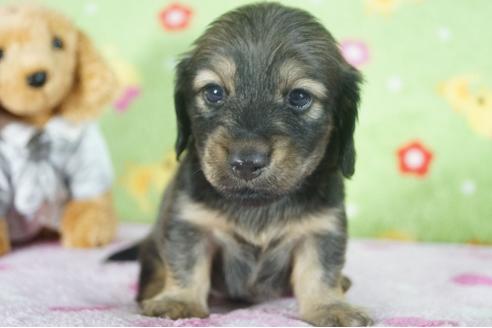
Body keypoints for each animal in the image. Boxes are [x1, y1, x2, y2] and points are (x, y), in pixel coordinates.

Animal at [112, 3, 372, 328]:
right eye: (214, 92)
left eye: (299, 97)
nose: (247, 162)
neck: (258, 205)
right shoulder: (189, 222)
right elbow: (185, 263)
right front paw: (179, 300)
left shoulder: (322, 229)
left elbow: (321, 270)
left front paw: (330, 306)